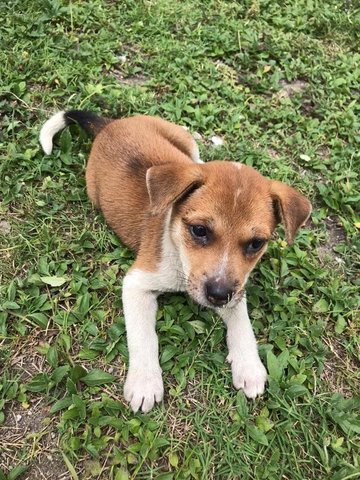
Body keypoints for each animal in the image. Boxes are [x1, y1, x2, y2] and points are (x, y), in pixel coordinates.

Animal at [38, 111, 310, 412]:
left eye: (256, 244)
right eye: (199, 230)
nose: (218, 296)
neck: (180, 258)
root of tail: (110, 125)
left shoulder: (235, 288)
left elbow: (242, 321)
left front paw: (248, 365)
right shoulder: (137, 283)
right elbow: (143, 336)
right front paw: (145, 383)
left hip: (183, 138)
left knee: (197, 160)